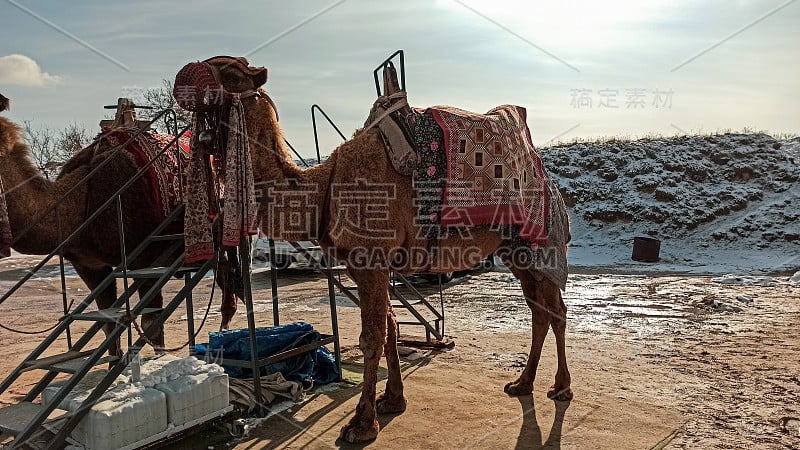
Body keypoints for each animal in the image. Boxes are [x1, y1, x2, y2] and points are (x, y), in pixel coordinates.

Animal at [0, 96, 239, 358]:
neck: (83, 202)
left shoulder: (146, 259)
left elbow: (151, 324)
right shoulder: (89, 265)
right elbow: (108, 324)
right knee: (225, 275)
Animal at [176, 56, 576, 442]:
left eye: (230, 70)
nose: (184, 78)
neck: (324, 187)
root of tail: (552, 187)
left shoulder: (371, 259)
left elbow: (371, 338)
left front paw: (361, 424)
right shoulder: (363, 263)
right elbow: (391, 328)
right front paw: (392, 401)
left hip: (543, 244)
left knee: (556, 311)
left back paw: (561, 388)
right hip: (517, 250)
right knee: (540, 311)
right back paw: (522, 383)